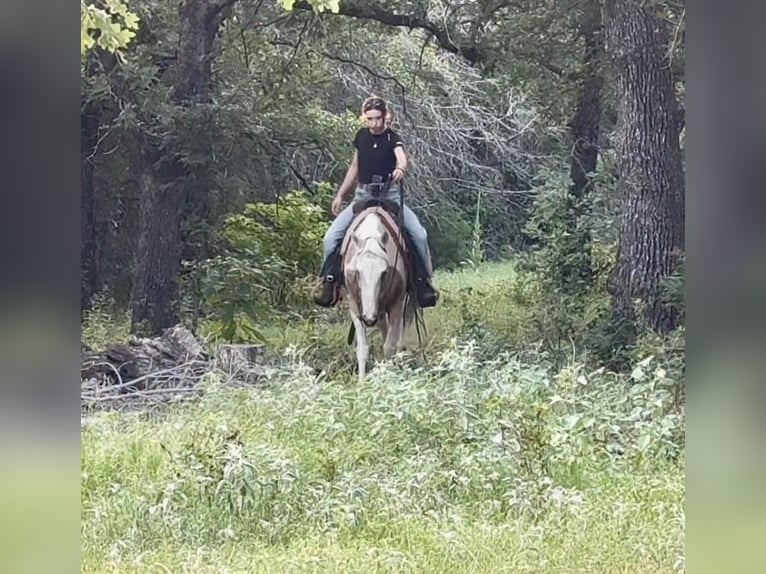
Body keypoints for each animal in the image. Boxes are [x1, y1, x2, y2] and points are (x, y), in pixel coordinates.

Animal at [340, 203, 415, 380]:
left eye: (384, 272)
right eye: (357, 272)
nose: (369, 318)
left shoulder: (397, 305)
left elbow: (390, 347)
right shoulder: (355, 308)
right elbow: (362, 348)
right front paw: (362, 382)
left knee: (399, 339)